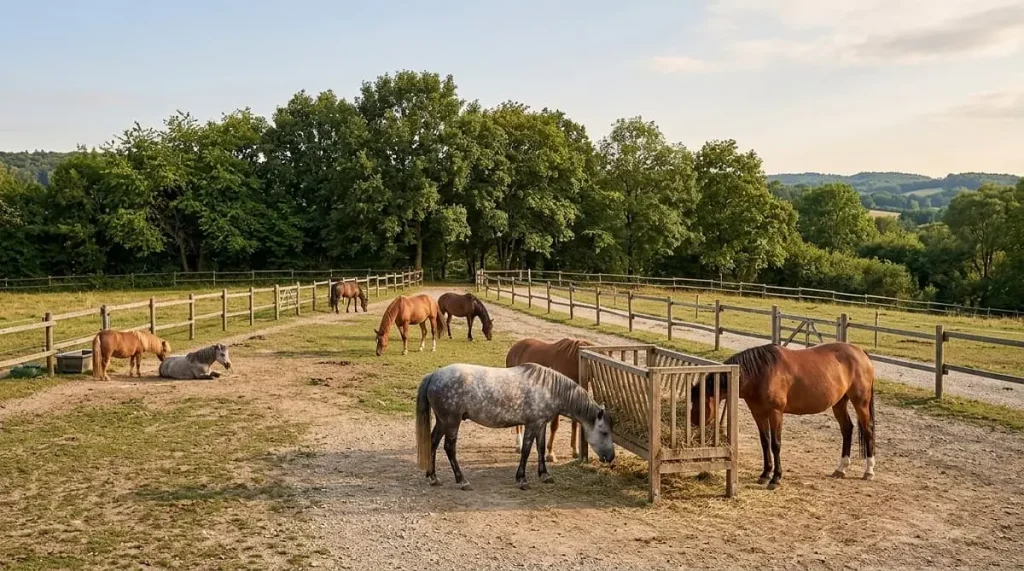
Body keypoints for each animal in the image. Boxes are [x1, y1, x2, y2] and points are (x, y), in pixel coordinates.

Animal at [415, 363, 615, 490]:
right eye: (604, 432)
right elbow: (526, 450)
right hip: (451, 422)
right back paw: (462, 481)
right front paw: (522, 479)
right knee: (449, 448)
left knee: (432, 443)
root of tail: (433, 376)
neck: (549, 389)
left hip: (442, 421)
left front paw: (545, 475)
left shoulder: (541, 424)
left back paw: (433, 477)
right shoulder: (532, 424)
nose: (611, 457)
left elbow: (540, 448)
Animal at [693, 342, 876, 490]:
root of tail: (860, 352)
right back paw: (841, 468)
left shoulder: (776, 413)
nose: (694, 424)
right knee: (847, 429)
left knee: (868, 430)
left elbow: (775, 444)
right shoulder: (758, 413)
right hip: (839, 403)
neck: (761, 372)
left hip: (861, 402)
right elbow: (765, 442)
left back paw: (869, 470)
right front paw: (765, 474)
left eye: (698, 403)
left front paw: (775, 478)